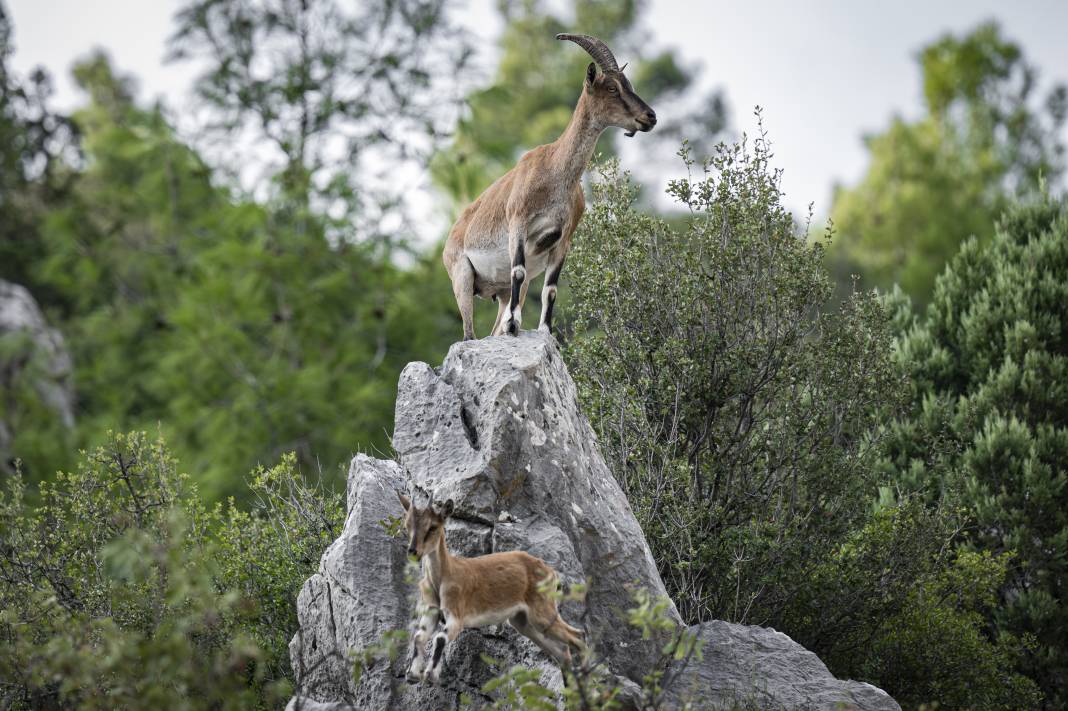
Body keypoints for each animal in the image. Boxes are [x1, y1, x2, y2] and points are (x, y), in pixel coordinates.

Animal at [442, 34, 657, 339]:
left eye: (629, 85)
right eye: (612, 88)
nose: (650, 117)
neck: (555, 172)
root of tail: (451, 236)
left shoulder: (563, 239)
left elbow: (551, 289)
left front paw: (545, 330)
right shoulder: (518, 222)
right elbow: (519, 271)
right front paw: (514, 324)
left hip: (502, 292)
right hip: (461, 276)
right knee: (468, 333)